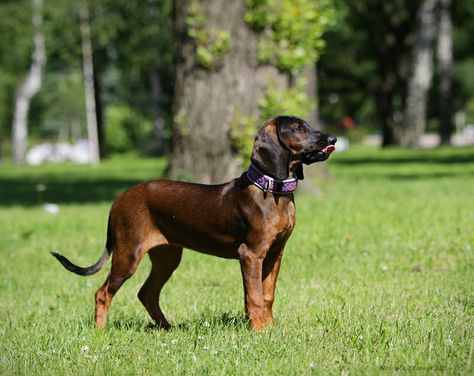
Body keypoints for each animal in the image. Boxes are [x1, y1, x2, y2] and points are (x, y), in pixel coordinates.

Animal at [52, 116, 336, 330]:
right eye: (298, 128)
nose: (333, 139)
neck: (271, 189)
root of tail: (118, 200)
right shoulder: (251, 254)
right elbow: (254, 297)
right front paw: (258, 331)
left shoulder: (275, 254)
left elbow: (267, 296)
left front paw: (269, 329)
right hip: (128, 253)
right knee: (103, 293)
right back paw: (100, 332)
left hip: (167, 257)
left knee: (147, 293)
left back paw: (167, 329)